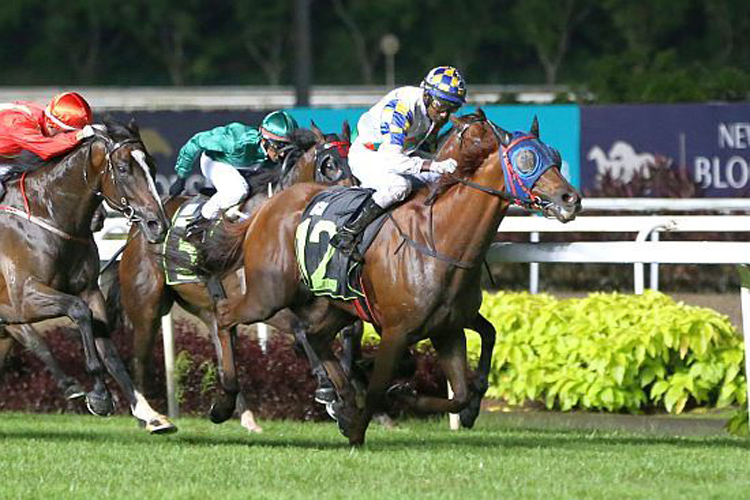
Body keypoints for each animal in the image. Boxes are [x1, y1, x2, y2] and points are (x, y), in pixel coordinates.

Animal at [0, 118, 176, 434]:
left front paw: (149, 414)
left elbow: (110, 350)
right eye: (123, 168)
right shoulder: (24, 297)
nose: (158, 224)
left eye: (153, 166)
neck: (49, 215)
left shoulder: (89, 290)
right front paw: (99, 396)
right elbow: (78, 311)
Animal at [103, 121, 358, 430]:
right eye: (329, 164)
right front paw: (327, 390)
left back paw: (244, 416)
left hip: (206, 309)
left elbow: (349, 328)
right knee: (139, 360)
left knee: (223, 350)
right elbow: (302, 330)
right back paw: (150, 419)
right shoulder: (266, 303)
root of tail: (137, 232)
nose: (354, 198)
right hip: (147, 309)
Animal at [214, 110, 584, 446]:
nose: (570, 198)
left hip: (332, 305)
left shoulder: (448, 329)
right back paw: (225, 402)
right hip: (268, 296)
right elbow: (379, 386)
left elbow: (460, 391)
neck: (439, 238)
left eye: (555, 155)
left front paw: (408, 399)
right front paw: (360, 427)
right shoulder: (395, 331)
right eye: (526, 159)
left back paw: (341, 401)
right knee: (225, 317)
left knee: (315, 337)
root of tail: (266, 207)